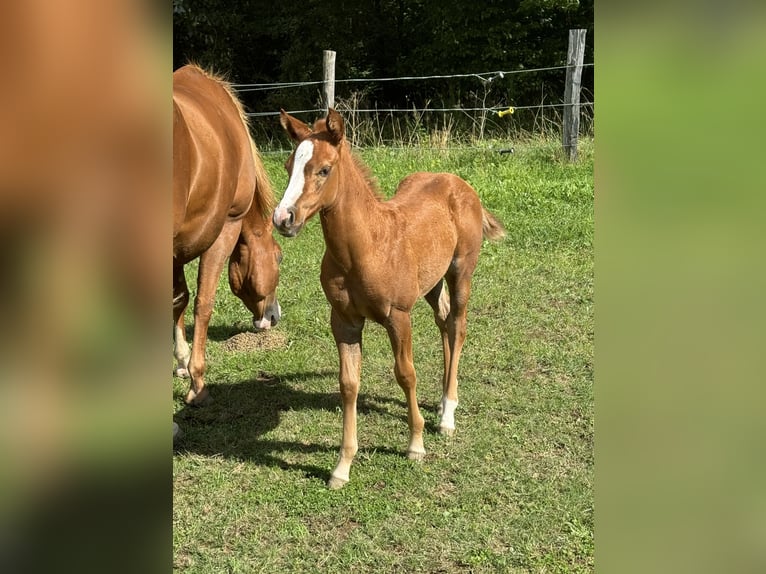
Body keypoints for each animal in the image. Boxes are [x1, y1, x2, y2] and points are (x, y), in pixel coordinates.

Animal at [172, 66, 284, 404]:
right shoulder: (226, 227)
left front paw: (180, 361)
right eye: (279, 257)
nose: (274, 317)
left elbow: (178, 299)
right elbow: (202, 301)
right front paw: (197, 381)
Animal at [272, 109, 508, 490]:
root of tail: (459, 183)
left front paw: (416, 445)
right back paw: (441, 403)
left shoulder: (398, 316)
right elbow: (348, 384)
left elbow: (405, 374)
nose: (283, 218)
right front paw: (342, 467)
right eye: (288, 165)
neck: (365, 247)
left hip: (461, 272)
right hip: (431, 284)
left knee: (458, 326)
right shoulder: (344, 320)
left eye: (323, 170)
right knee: (444, 321)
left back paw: (448, 414)